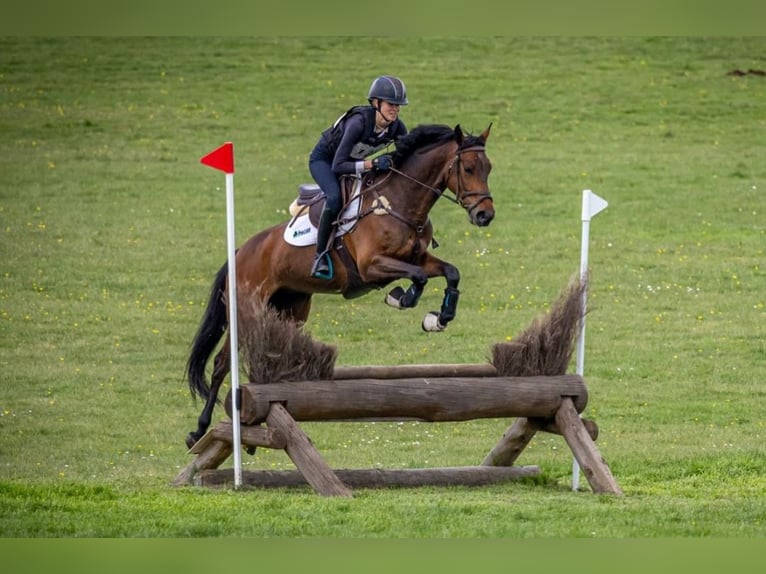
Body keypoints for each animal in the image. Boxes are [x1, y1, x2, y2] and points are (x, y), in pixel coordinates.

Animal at [185, 123, 495, 448]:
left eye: (489, 167)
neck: (400, 202)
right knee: (221, 364)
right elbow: (418, 278)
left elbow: (451, 272)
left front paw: (439, 317)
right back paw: (198, 431)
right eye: (469, 168)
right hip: (244, 311)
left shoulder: (420, 258)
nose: (485, 215)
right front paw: (401, 298)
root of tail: (240, 252)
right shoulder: (372, 266)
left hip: (290, 309)